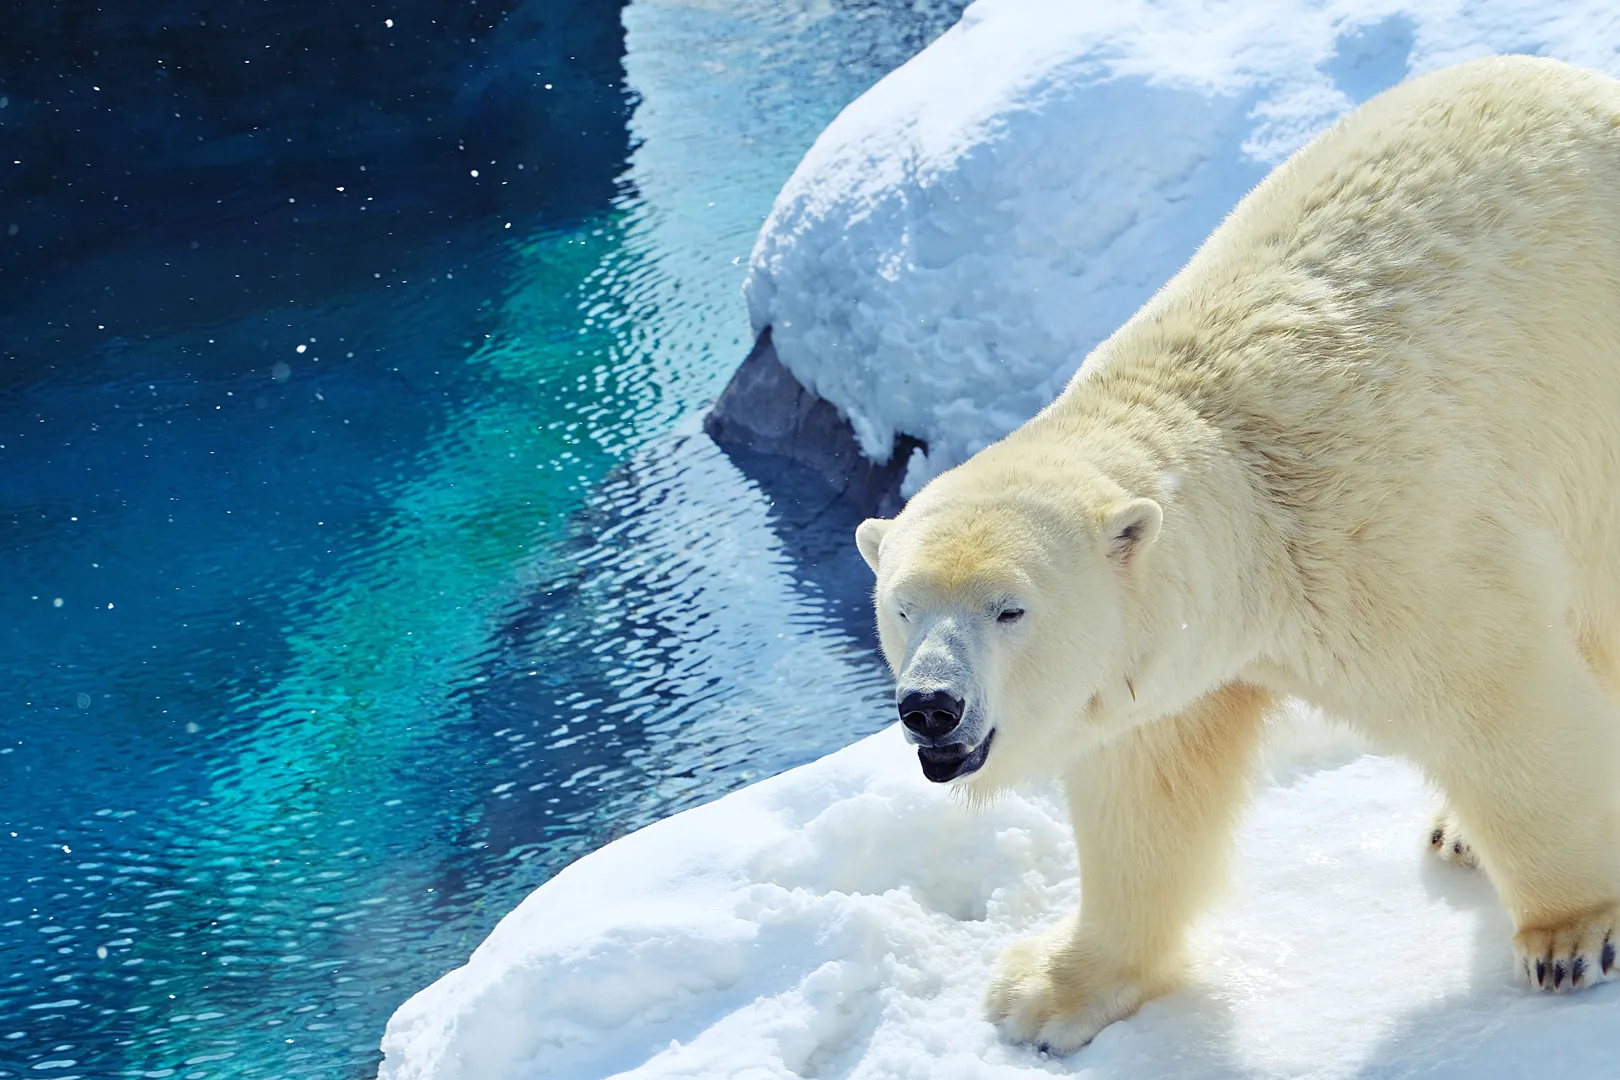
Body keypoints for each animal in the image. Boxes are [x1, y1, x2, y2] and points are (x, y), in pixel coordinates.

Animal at [855, 52, 1613, 1055]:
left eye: (1009, 609)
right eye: (902, 609)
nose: (930, 708)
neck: (1253, 500)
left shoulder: (1393, 551)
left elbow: (1503, 709)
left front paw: (1570, 935)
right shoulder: (1174, 664)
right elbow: (1143, 798)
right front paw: (1045, 990)